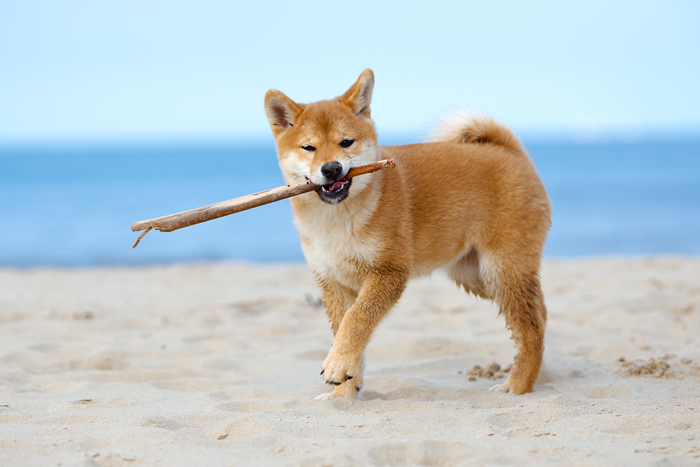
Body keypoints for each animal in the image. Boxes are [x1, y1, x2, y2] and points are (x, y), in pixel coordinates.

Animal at [264, 67, 552, 400]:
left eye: (346, 142)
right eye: (308, 147)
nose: (332, 168)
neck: (336, 220)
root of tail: (512, 152)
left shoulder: (389, 272)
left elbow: (357, 320)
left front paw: (338, 365)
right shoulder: (334, 283)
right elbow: (344, 328)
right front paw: (344, 395)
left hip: (502, 271)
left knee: (531, 327)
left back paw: (518, 385)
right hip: (475, 275)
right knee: (540, 314)